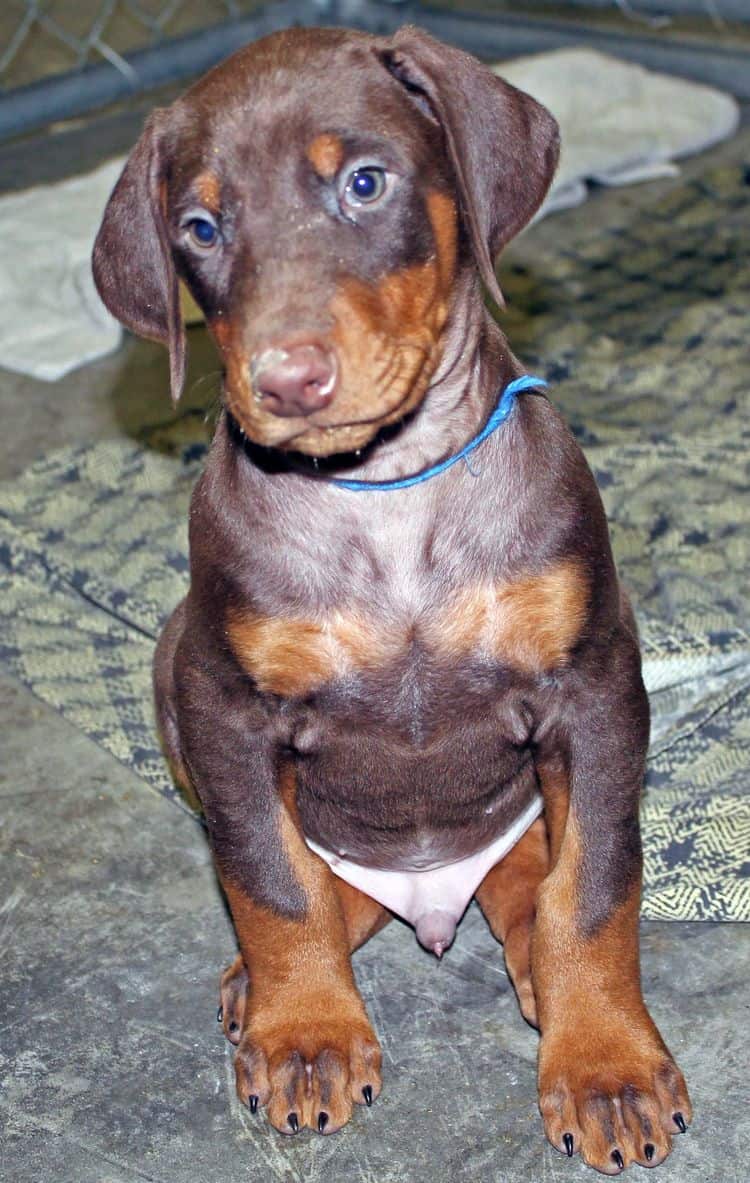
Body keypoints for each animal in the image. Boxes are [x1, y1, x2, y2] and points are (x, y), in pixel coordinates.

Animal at [92, 25, 690, 1173]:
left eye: (364, 183)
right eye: (200, 227)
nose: (286, 381)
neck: (387, 493)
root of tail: (429, 898)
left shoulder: (595, 683)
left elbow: (593, 886)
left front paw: (606, 1064)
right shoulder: (223, 704)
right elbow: (270, 881)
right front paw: (306, 1036)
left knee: (529, 872)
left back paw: (531, 962)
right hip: (171, 659)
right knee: (328, 889)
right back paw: (262, 986)